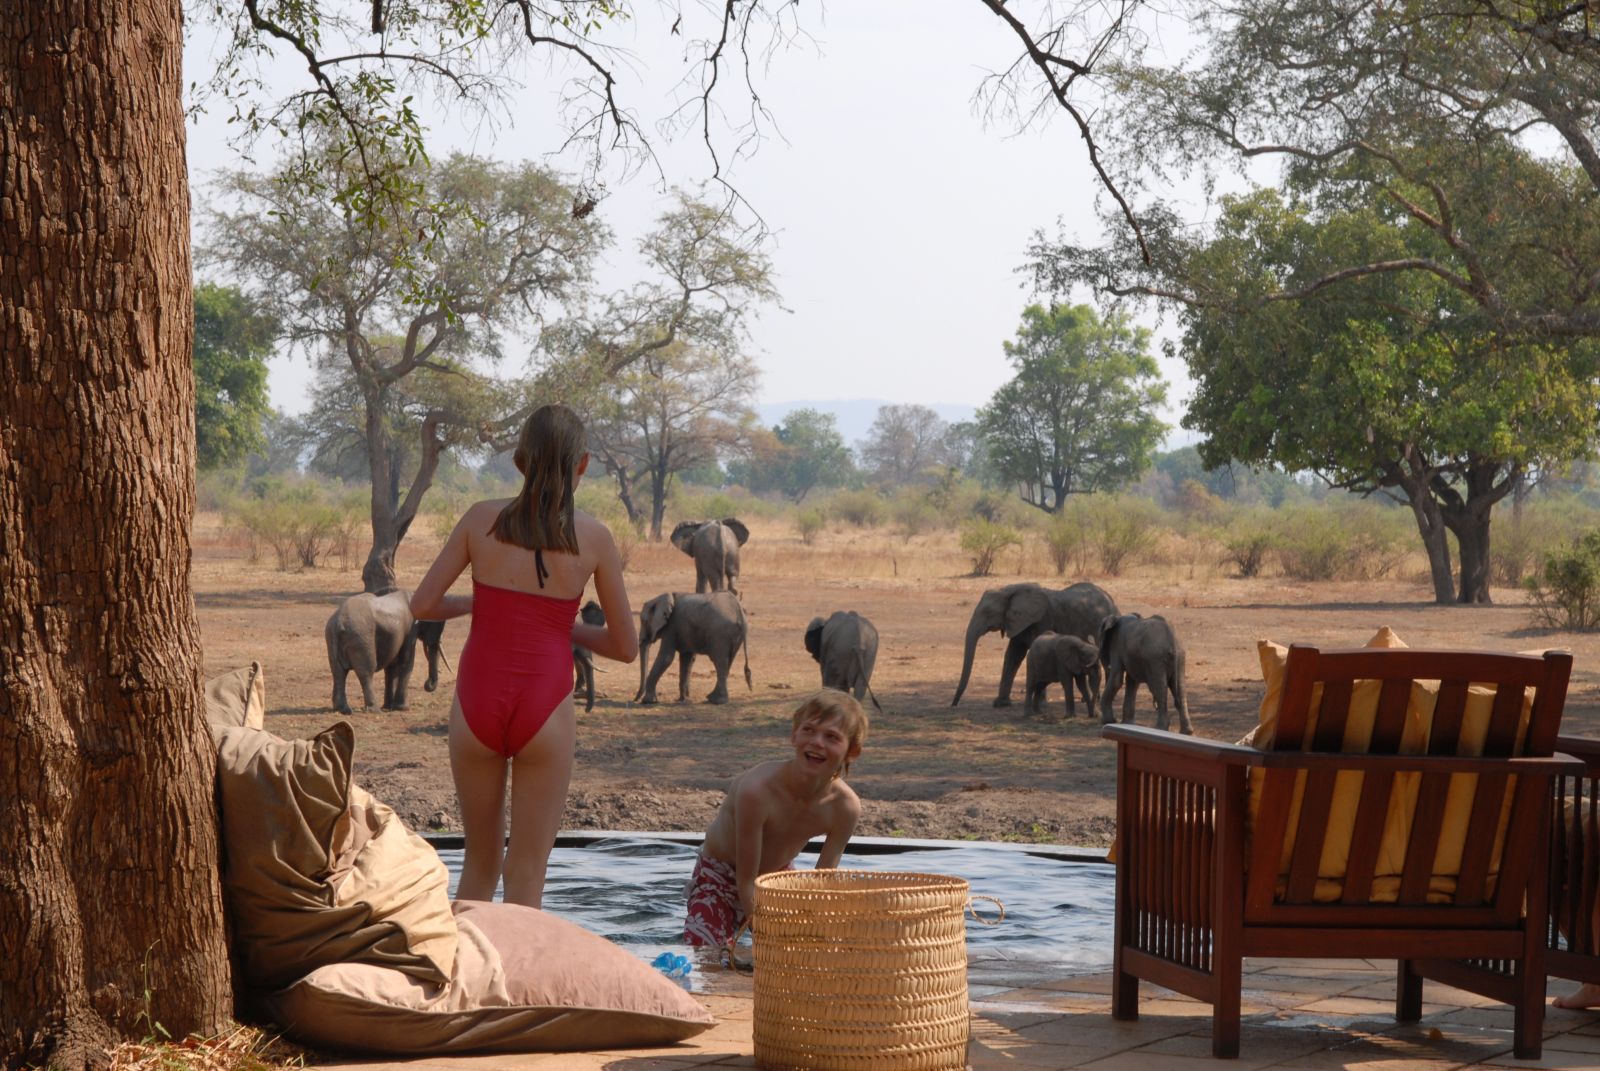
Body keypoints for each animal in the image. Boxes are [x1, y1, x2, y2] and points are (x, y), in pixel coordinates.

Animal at [951, 581, 1118, 708]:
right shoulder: (1019, 622)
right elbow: (1013, 655)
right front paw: (1000, 704)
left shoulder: (1042, 619)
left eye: (987, 613)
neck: (1009, 590)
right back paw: (1088, 699)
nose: (954, 704)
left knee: (1107, 661)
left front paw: (1041, 703)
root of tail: (1110, 599)